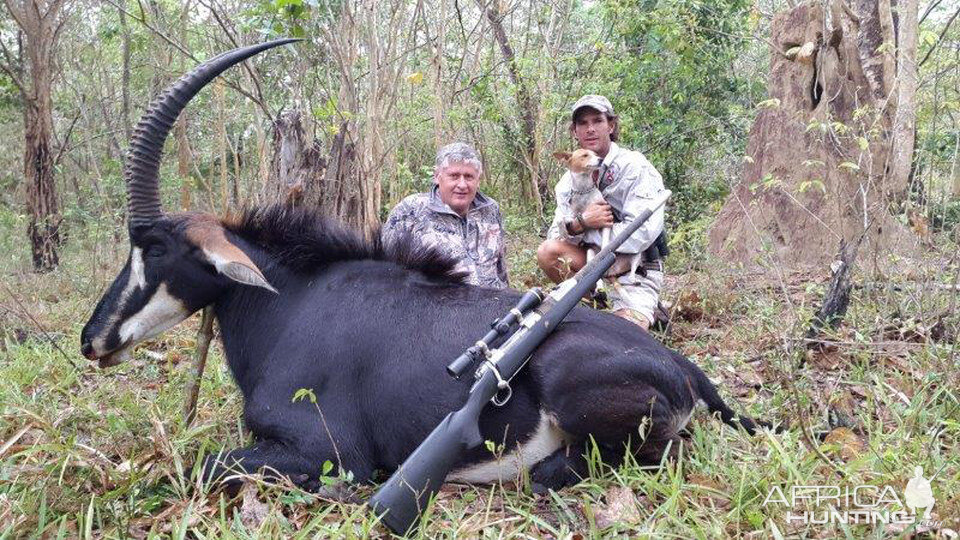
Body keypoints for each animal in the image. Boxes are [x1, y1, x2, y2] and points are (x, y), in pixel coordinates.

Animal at [79, 40, 760, 492]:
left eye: (154, 248)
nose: (92, 340)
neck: (290, 302)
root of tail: (686, 369)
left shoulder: (329, 452)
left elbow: (200, 466)